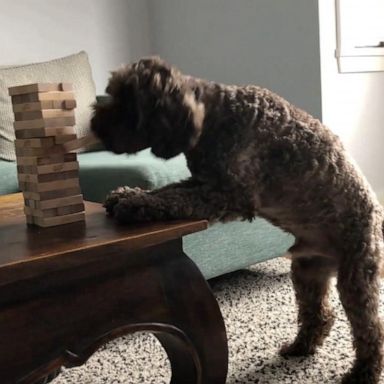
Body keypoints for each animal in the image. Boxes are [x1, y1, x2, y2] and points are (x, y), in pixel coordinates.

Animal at [91, 55, 384, 382]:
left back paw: (364, 372)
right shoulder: (202, 182)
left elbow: (170, 199)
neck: (214, 116)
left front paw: (133, 203)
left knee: (371, 331)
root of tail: (376, 218)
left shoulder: (228, 195)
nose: (92, 127)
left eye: (126, 102)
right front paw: (127, 194)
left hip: (355, 278)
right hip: (307, 272)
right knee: (320, 315)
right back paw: (301, 346)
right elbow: (165, 190)